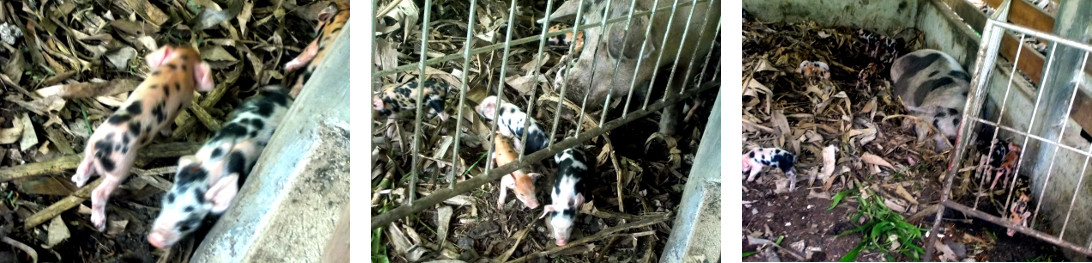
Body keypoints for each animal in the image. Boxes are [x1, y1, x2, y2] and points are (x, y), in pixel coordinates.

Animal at [71, 44, 214, 231]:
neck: (178, 67)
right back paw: (99, 224)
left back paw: (76, 181)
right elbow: (169, 122)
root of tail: (102, 148)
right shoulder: (181, 104)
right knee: (98, 193)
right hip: (121, 168)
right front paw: (168, 133)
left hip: (89, 149)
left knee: (83, 169)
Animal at [543, 0, 716, 135]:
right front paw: (639, 107)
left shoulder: (698, 50)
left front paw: (664, 134)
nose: (566, 91)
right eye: (586, 36)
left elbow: (674, 95)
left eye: (615, 50)